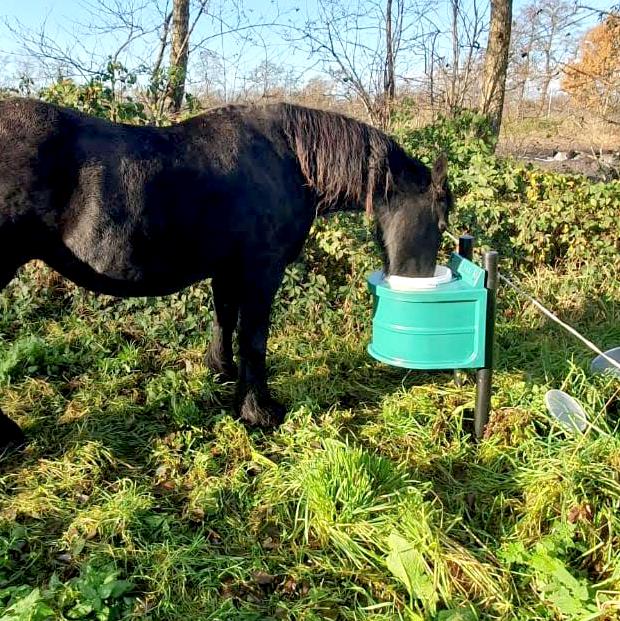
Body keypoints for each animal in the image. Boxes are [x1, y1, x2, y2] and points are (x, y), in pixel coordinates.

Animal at [0, 95, 450, 446]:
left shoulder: (228, 271)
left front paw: (222, 372)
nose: (420, 282)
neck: (290, 160)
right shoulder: (261, 273)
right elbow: (253, 338)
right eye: (442, 223)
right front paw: (258, 410)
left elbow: (224, 320)